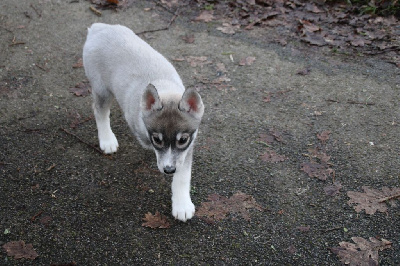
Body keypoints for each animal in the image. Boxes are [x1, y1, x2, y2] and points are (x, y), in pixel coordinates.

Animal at [82, 23, 205, 222]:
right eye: (157, 139)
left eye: (182, 140)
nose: (169, 170)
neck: (165, 89)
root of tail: (99, 28)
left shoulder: (188, 147)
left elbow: (182, 176)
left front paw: (182, 204)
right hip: (101, 89)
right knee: (100, 111)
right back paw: (107, 140)